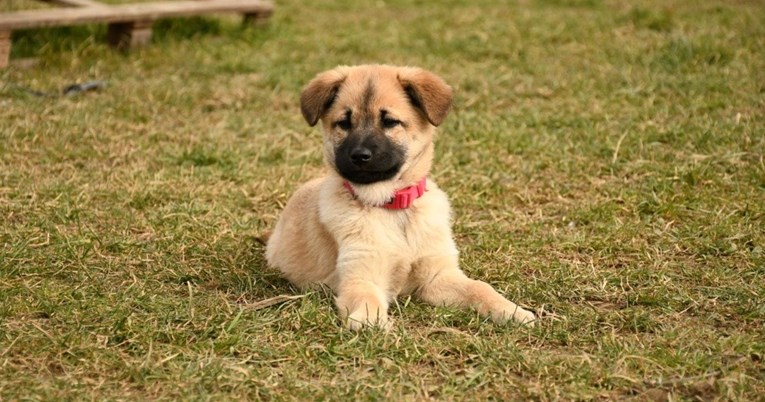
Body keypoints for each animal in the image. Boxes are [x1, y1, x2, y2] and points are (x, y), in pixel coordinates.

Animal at [266, 65, 536, 330]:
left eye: (389, 122)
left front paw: (511, 311)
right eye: (343, 123)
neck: (393, 208)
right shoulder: (360, 274)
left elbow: (480, 288)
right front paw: (370, 322)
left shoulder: (438, 275)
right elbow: (366, 297)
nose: (359, 155)